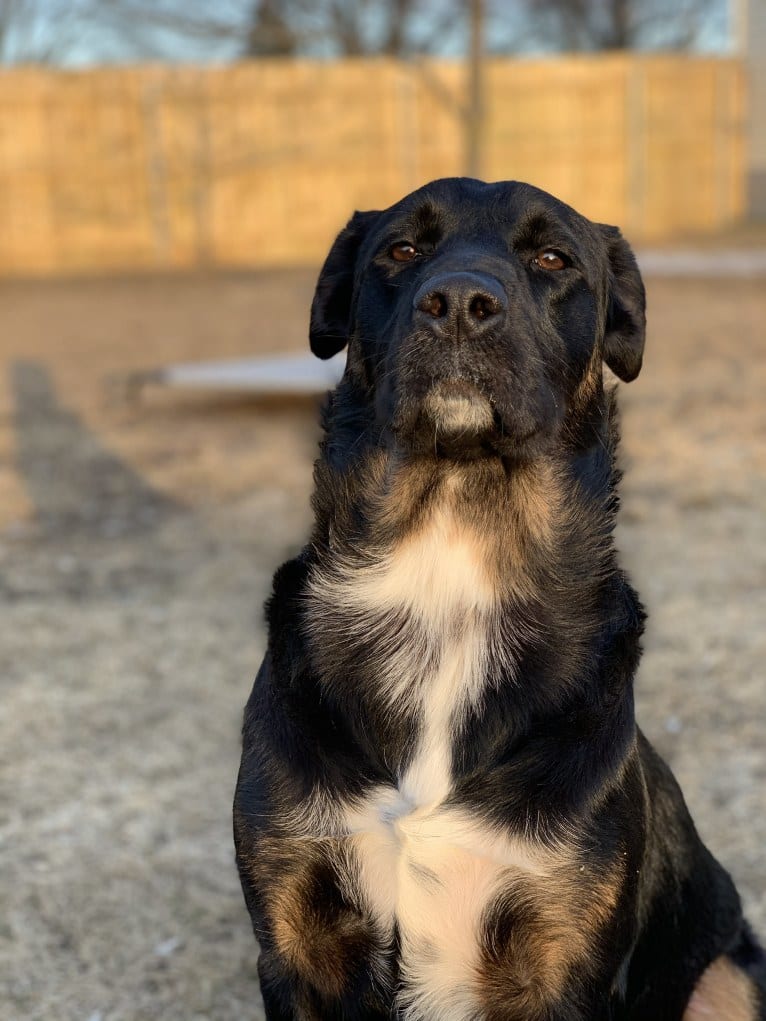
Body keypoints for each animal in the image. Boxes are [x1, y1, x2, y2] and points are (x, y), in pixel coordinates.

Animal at [235, 179, 766, 1016]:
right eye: (401, 249)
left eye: (552, 258)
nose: (457, 302)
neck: (447, 575)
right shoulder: (294, 939)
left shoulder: (562, 958)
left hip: (728, 973)